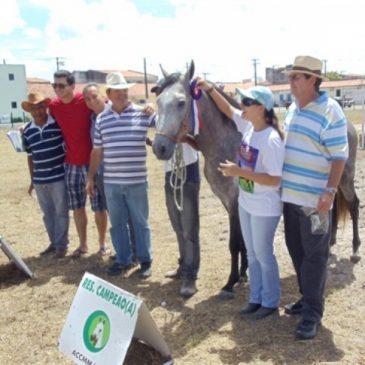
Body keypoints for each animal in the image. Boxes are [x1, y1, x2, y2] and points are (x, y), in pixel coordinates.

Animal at [151, 61, 247, 298]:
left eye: (181, 103)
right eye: (158, 101)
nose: (159, 147)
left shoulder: (235, 199)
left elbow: (234, 243)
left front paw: (230, 283)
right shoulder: (228, 201)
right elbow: (243, 240)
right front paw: (243, 274)